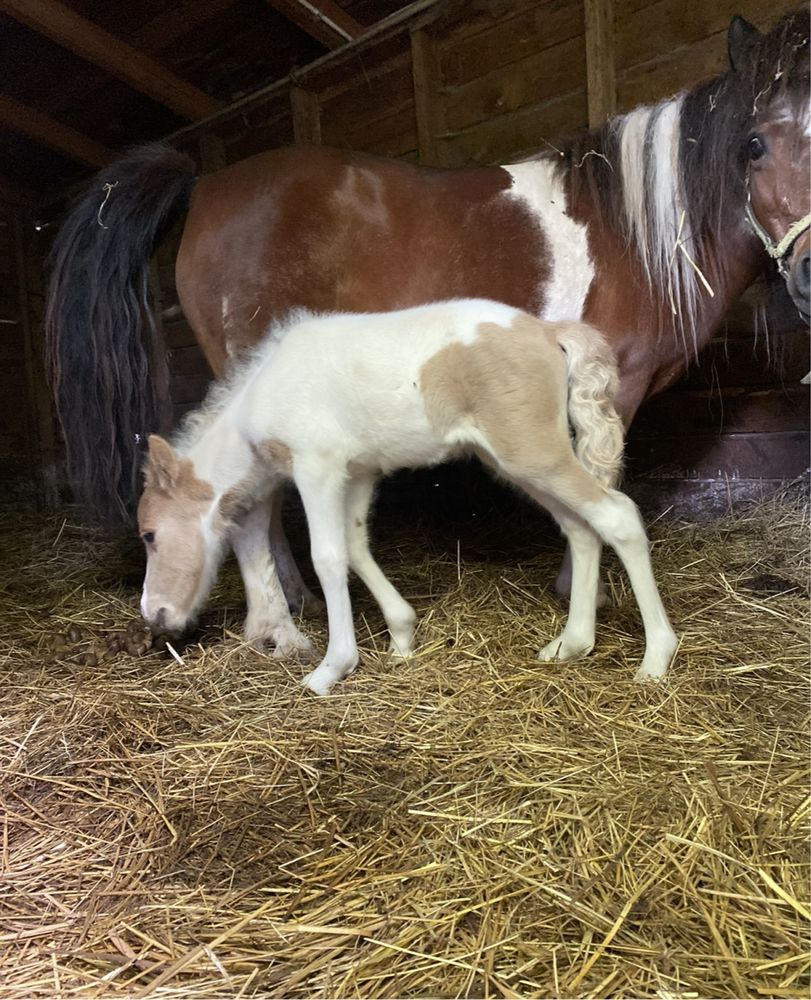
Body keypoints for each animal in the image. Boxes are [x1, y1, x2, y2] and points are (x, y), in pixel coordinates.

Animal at [47, 13, 808, 640]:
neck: (635, 234)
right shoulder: (613, 388)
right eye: (753, 145)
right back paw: (282, 620)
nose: (806, 273)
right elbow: (596, 486)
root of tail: (205, 184)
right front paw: (581, 593)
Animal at [140, 298, 680, 696]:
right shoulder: (360, 471)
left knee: (618, 516)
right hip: (517, 463)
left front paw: (331, 669)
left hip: (533, 453)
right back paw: (571, 644)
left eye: (148, 535)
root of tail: (549, 331)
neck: (263, 392)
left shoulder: (318, 466)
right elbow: (356, 545)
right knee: (580, 527)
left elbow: (328, 556)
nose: (153, 615)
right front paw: (401, 636)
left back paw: (656, 658)